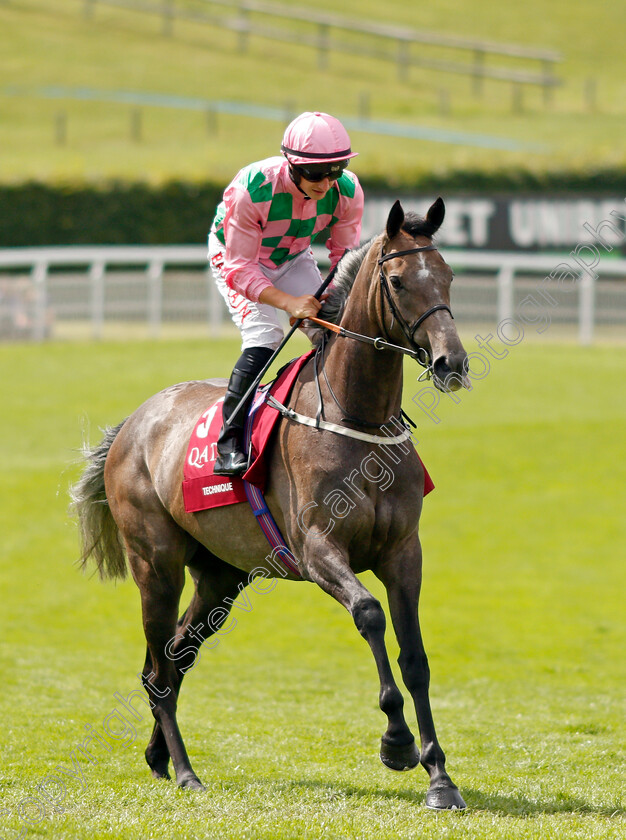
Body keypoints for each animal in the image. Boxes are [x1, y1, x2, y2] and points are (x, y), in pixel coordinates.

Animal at [69, 197, 468, 808]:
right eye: (398, 281)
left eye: (447, 276)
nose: (452, 362)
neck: (356, 417)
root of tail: (133, 424)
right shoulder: (319, 549)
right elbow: (369, 614)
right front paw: (397, 742)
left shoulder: (404, 553)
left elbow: (416, 658)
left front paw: (440, 776)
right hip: (155, 565)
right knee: (159, 669)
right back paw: (184, 770)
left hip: (220, 575)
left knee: (175, 657)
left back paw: (159, 756)